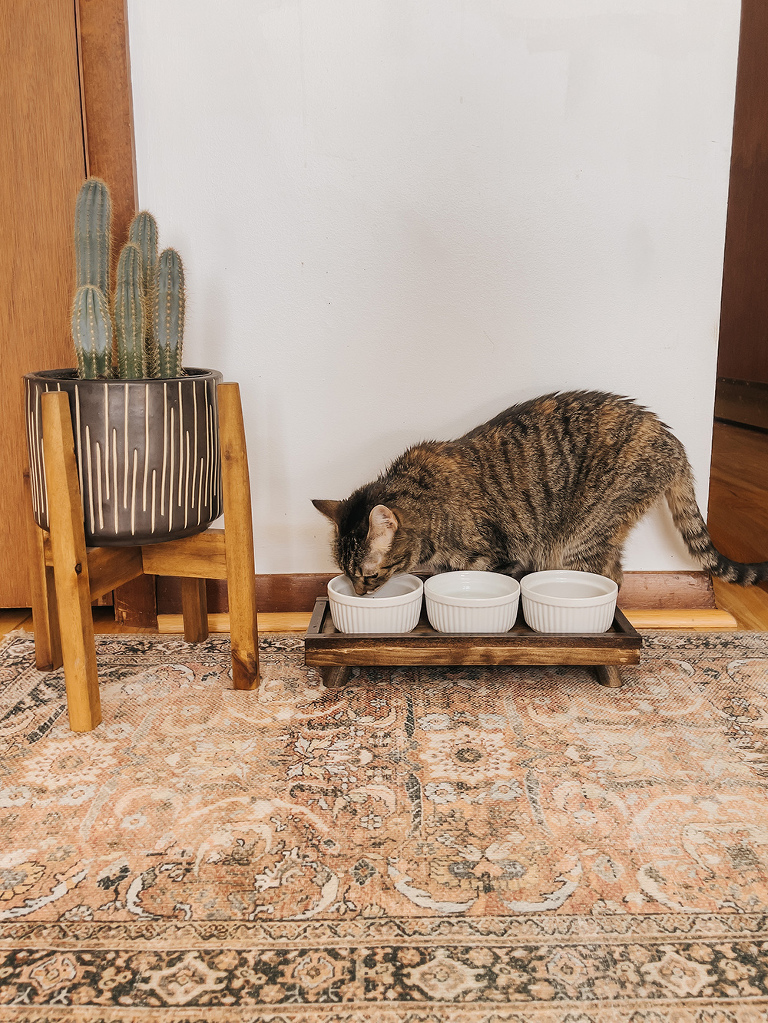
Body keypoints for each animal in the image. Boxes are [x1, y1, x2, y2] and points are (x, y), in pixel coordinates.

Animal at [312, 392, 768, 597]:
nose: (360, 594)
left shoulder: (497, 558)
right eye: (348, 574)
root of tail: (671, 441)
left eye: (368, 575)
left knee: (610, 578)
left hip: (580, 536)